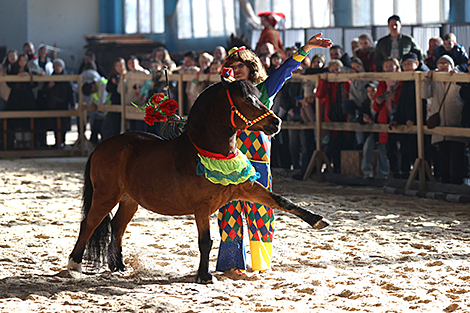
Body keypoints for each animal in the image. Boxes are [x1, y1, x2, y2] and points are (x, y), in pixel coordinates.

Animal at [68, 78, 328, 282]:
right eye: (247, 99)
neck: (210, 152)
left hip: (129, 200)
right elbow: (206, 241)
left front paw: (318, 220)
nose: (276, 122)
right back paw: (74, 264)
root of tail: (102, 146)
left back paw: (119, 266)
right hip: (106, 196)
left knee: (117, 227)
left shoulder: (247, 188)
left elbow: (283, 201)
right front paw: (204, 275)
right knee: (89, 224)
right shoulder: (202, 208)